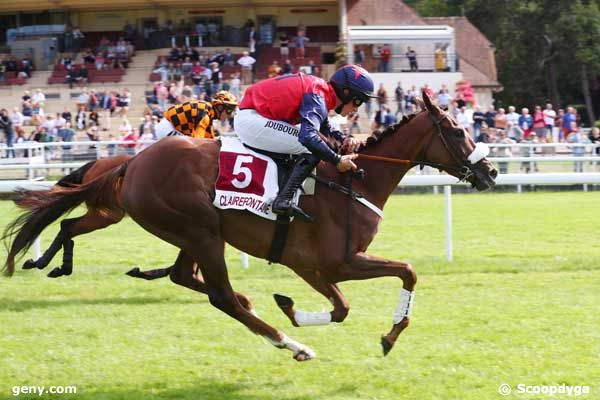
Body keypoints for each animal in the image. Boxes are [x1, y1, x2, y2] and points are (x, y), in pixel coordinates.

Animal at [3, 93, 496, 360]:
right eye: (456, 131)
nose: (490, 171)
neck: (354, 179)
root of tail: (132, 161)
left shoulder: (310, 266)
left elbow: (341, 308)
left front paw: (290, 306)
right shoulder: (339, 262)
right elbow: (406, 271)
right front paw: (389, 335)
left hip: (191, 232)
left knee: (184, 275)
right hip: (200, 230)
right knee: (218, 295)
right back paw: (291, 344)